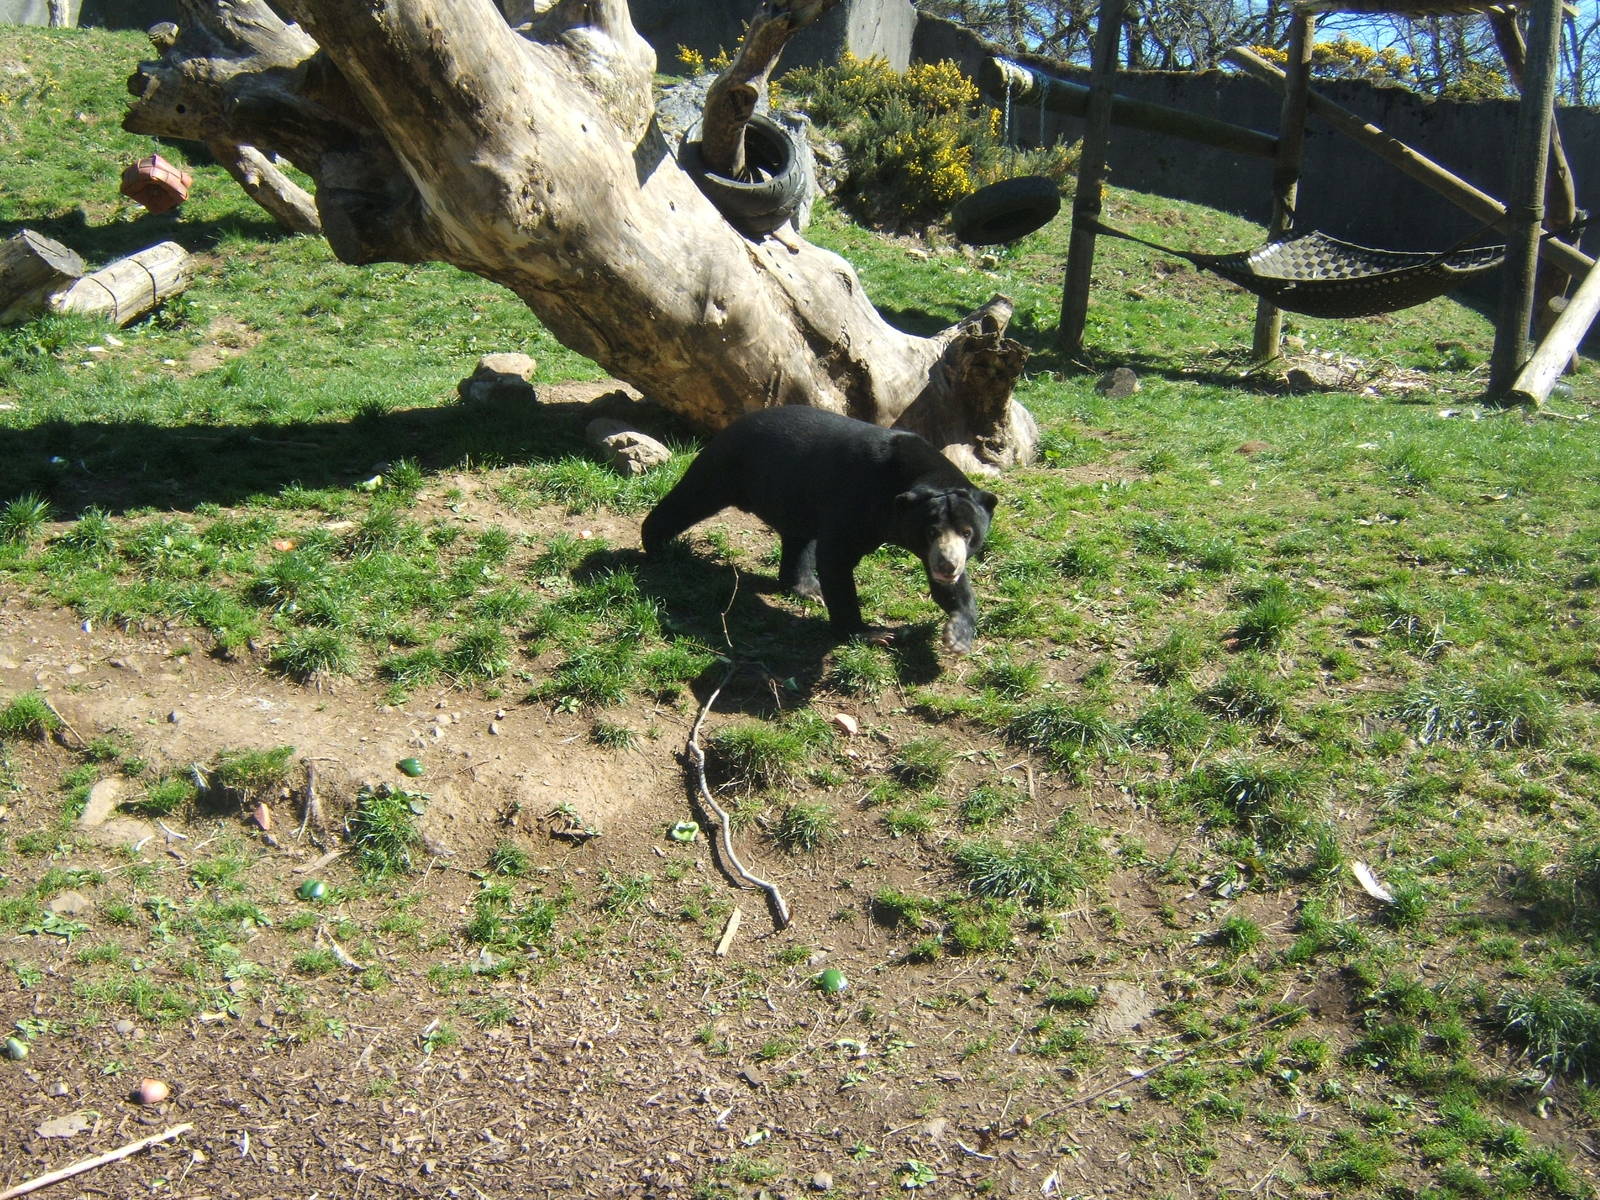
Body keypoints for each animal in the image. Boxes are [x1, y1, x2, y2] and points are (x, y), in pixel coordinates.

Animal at [641, 407, 998, 653]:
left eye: (968, 533)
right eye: (931, 531)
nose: (948, 564)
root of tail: (735, 423)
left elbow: (951, 591)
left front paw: (957, 635)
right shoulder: (858, 501)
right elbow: (837, 557)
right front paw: (872, 632)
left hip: (794, 494)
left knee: (798, 539)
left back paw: (806, 588)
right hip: (728, 466)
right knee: (691, 498)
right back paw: (657, 545)